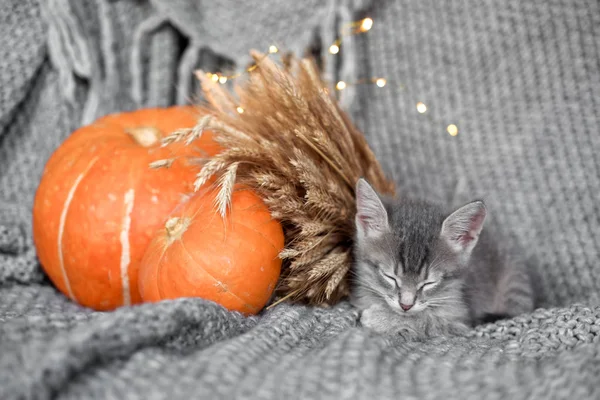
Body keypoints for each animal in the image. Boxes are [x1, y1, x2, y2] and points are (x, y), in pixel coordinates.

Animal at [352, 180, 536, 340]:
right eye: (389, 277)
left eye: (429, 283)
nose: (406, 305)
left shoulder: (462, 322)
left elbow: (429, 320)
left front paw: (380, 318)